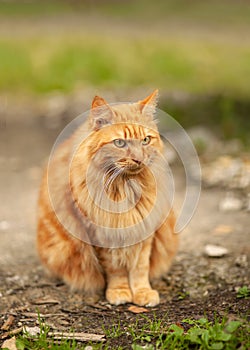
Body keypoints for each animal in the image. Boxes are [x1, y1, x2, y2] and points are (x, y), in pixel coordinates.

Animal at [36, 90, 178, 306]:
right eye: (120, 143)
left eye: (146, 140)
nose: (138, 159)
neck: (127, 187)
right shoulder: (101, 234)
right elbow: (115, 269)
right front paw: (120, 292)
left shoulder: (145, 229)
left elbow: (140, 268)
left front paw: (143, 292)